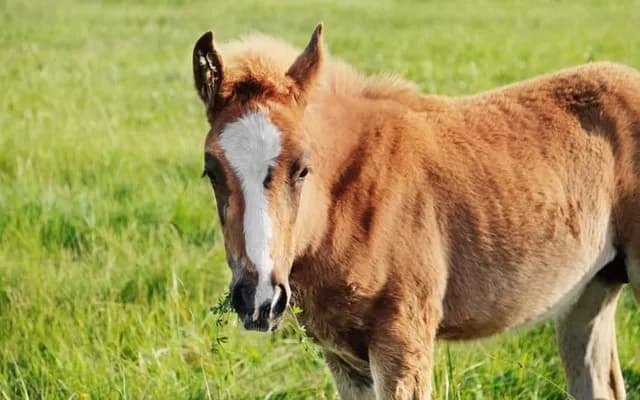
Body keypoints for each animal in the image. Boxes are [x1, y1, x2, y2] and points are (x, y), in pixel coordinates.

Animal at [192, 24, 640, 399]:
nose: (259, 300)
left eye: (302, 169)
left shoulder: (403, 342)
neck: (351, 199)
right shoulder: (343, 358)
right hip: (590, 292)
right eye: (210, 170)